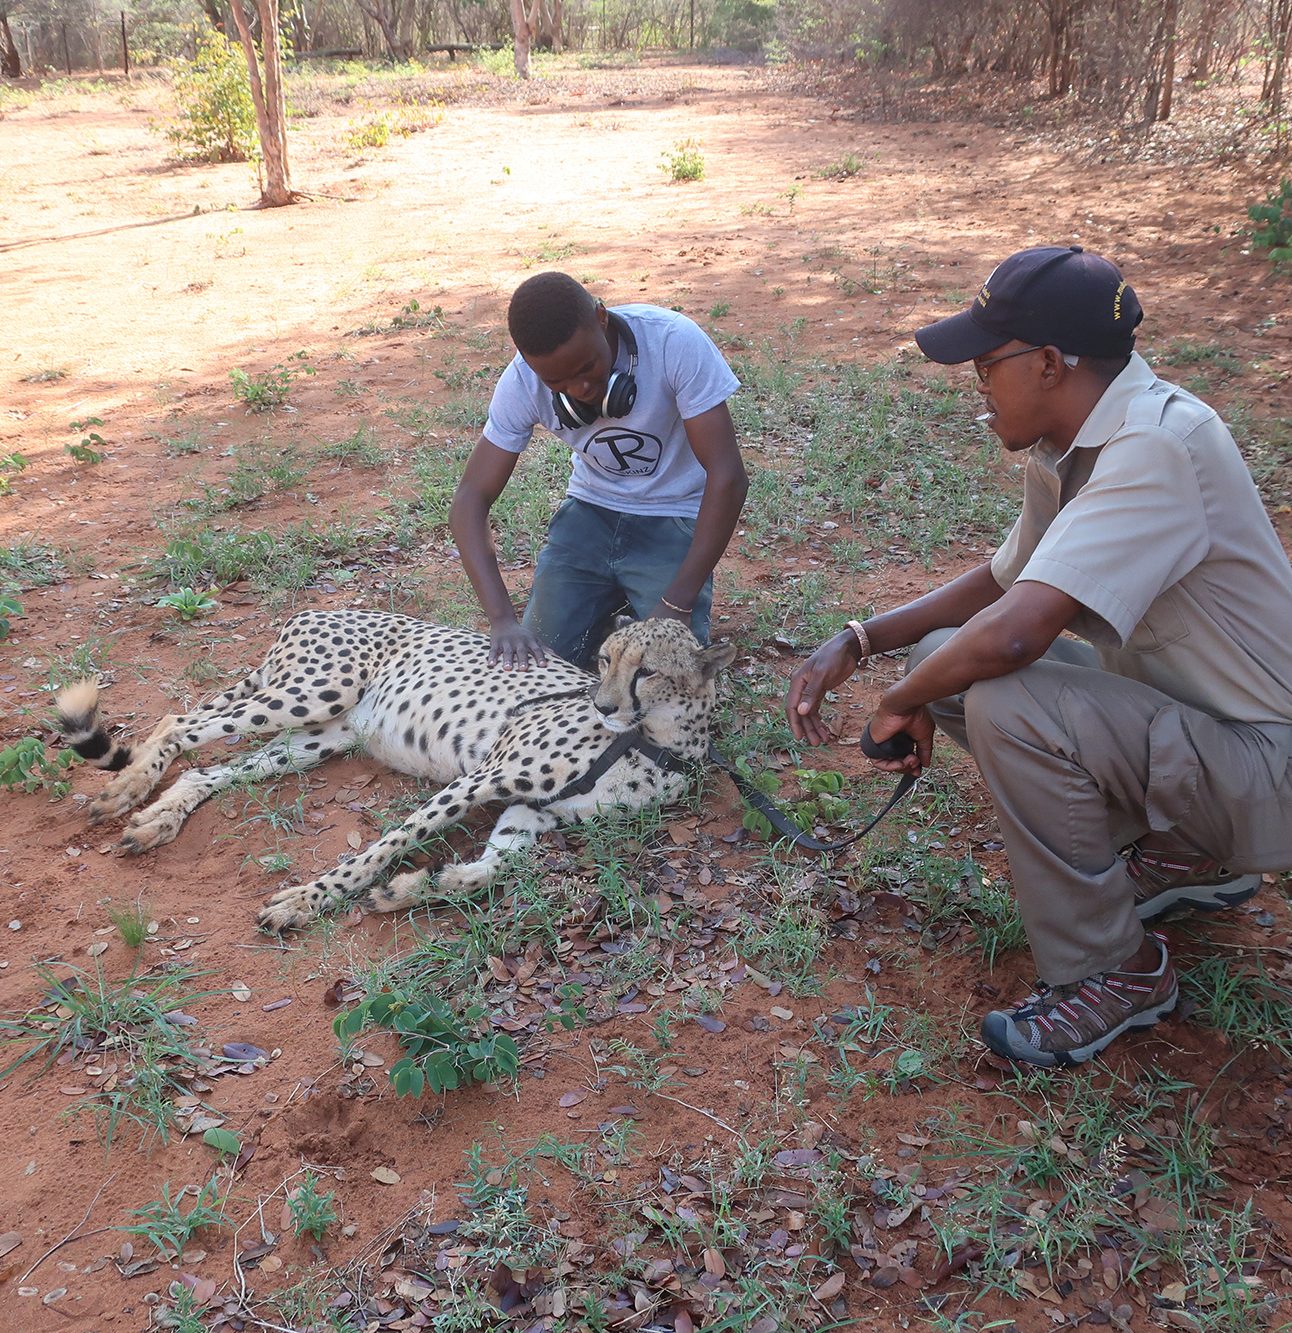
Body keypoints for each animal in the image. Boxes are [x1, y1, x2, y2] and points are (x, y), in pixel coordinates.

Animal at [53, 610, 736, 933]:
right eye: (603, 660)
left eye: (647, 671)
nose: (602, 703)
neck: (651, 740)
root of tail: (316, 610)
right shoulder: (483, 777)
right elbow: (383, 847)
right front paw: (308, 899)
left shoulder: (532, 811)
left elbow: (492, 871)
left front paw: (414, 889)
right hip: (311, 692)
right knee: (177, 722)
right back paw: (127, 788)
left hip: (322, 736)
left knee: (209, 771)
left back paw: (158, 819)